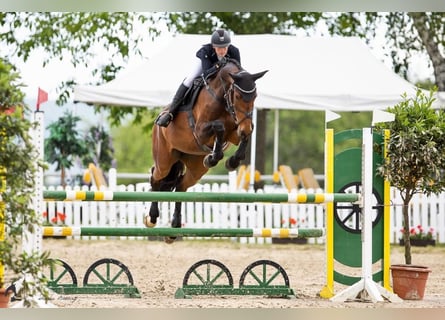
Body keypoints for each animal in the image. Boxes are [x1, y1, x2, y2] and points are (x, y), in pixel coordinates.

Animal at [146, 60, 268, 242]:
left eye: (255, 97)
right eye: (238, 97)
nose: (244, 127)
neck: (222, 98)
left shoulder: (236, 130)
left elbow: (244, 135)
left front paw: (231, 161)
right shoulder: (200, 131)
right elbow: (219, 127)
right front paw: (214, 157)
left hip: (195, 168)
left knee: (181, 186)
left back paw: (175, 227)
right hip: (164, 160)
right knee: (156, 177)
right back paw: (152, 217)